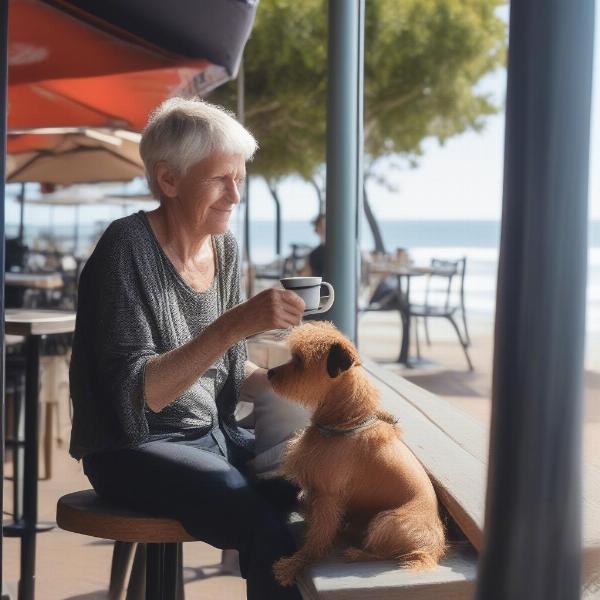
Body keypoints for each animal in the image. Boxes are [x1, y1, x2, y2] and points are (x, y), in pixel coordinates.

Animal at [268, 324, 446, 584]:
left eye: (299, 361)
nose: (270, 373)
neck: (344, 422)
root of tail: (433, 549)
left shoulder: (328, 496)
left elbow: (316, 538)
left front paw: (296, 564)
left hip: (387, 521)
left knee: (389, 553)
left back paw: (357, 553)